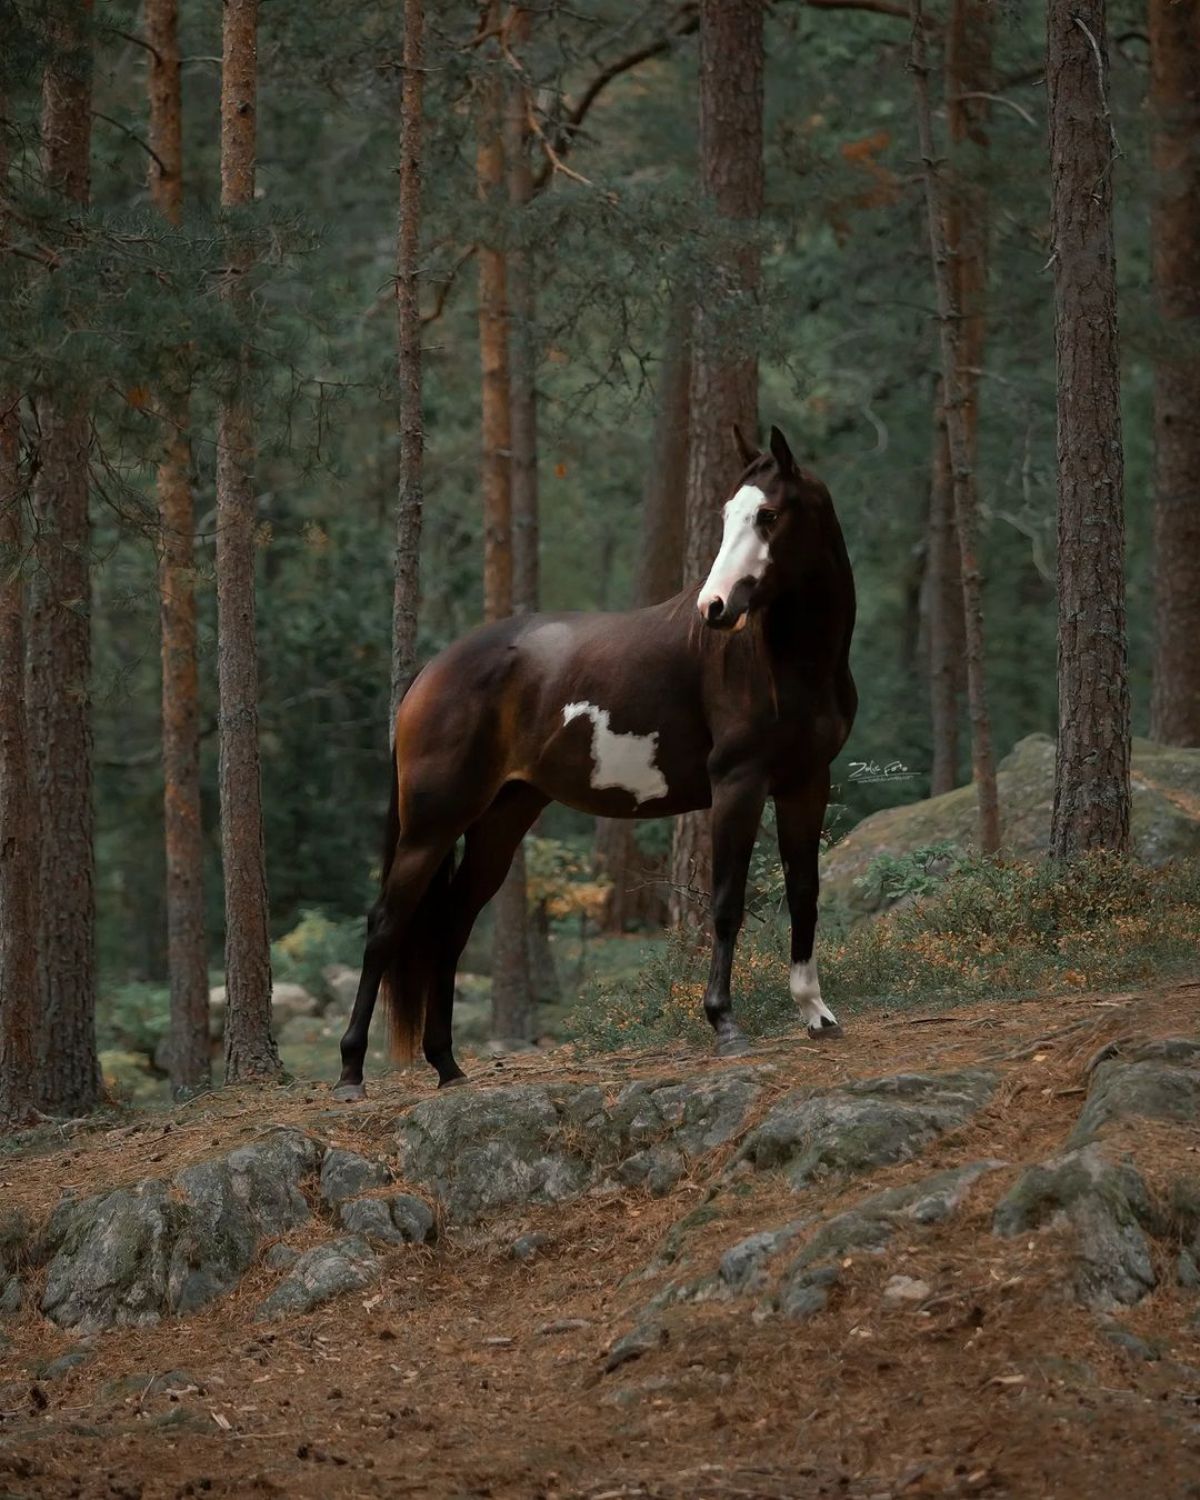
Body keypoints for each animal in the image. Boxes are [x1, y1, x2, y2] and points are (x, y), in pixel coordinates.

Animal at [333, 426, 858, 1104]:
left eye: (768, 515)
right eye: (726, 516)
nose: (714, 607)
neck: (783, 662)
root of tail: (429, 673)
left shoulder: (805, 783)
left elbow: (805, 892)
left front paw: (816, 1013)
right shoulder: (738, 786)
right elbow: (725, 903)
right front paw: (725, 1024)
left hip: (501, 821)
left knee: (449, 927)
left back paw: (447, 1065)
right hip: (432, 825)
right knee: (385, 926)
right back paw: (350, 1072)